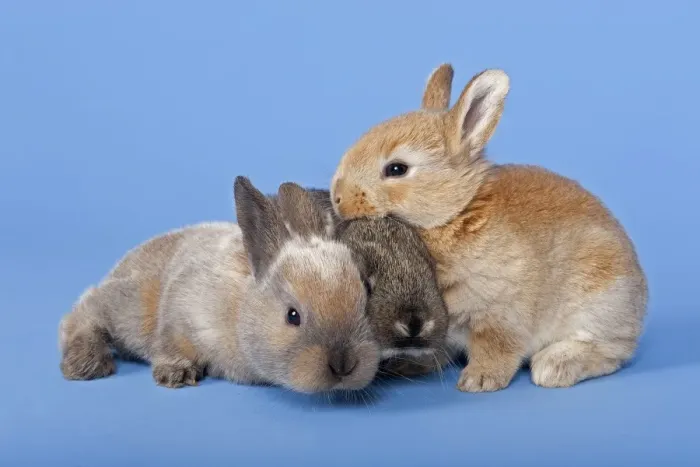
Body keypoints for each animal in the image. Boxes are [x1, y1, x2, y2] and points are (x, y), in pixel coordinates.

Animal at [58, 177, 380, 393]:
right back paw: (85, 365)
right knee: (83, 311)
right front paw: (175, 375)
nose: (343, 365)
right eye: (293, 316)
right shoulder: (180, 315)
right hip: (130, 306)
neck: (240, 308)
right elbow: (170, 343)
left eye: (365, 296)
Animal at [329, 63, 648, 392]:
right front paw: (410, 366)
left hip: (599, 298)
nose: (337, 197)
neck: (456, 213)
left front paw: (479, 380)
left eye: (396, 169)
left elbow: (495, 346)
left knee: (611, 351)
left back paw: (554, 367)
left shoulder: (501, 313)